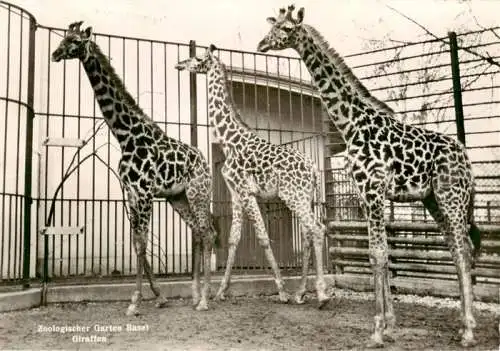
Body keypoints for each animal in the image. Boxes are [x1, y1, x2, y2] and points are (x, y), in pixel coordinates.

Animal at [51, 20, 218, 314]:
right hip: (178, 197)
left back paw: (205, 300)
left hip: (198, 192)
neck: (125, 134)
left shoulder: (144, 193)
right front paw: (157, 296)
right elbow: (136, 242)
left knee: (208, 232)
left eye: (75, 41)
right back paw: (195, 295)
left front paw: (136, 301)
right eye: (63, 38)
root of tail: (204, 161)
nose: (55, 54)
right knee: (197, 232)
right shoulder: (130, 192)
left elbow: (141, 244)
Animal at [176, 44, 332, 308]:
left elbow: (263, 237)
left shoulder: (246, 191)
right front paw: (221, 292)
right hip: (304, 198)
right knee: (308, 234)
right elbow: (233, 239)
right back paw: (301, 293)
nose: (179, 64)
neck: (228, 140)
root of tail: (313, 168)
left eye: (196, 58)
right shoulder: (235, 193)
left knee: (317, 229)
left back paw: (320, 295)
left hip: (293, 196)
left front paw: (281, 291)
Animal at [258, 5, 480, 350]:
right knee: (457, 250)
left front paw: (376, 329)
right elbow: (382, 254)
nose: (261, 44)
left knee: (464, 248)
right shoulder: (365, 195)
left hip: (451, 196)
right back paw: (461, 327)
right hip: (433, 200)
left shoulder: (373, 190)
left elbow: (376, 254)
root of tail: (467, 159)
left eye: (285, 29)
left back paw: (469, 331)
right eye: (273, 25)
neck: (352, 123)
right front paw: (389, 325)